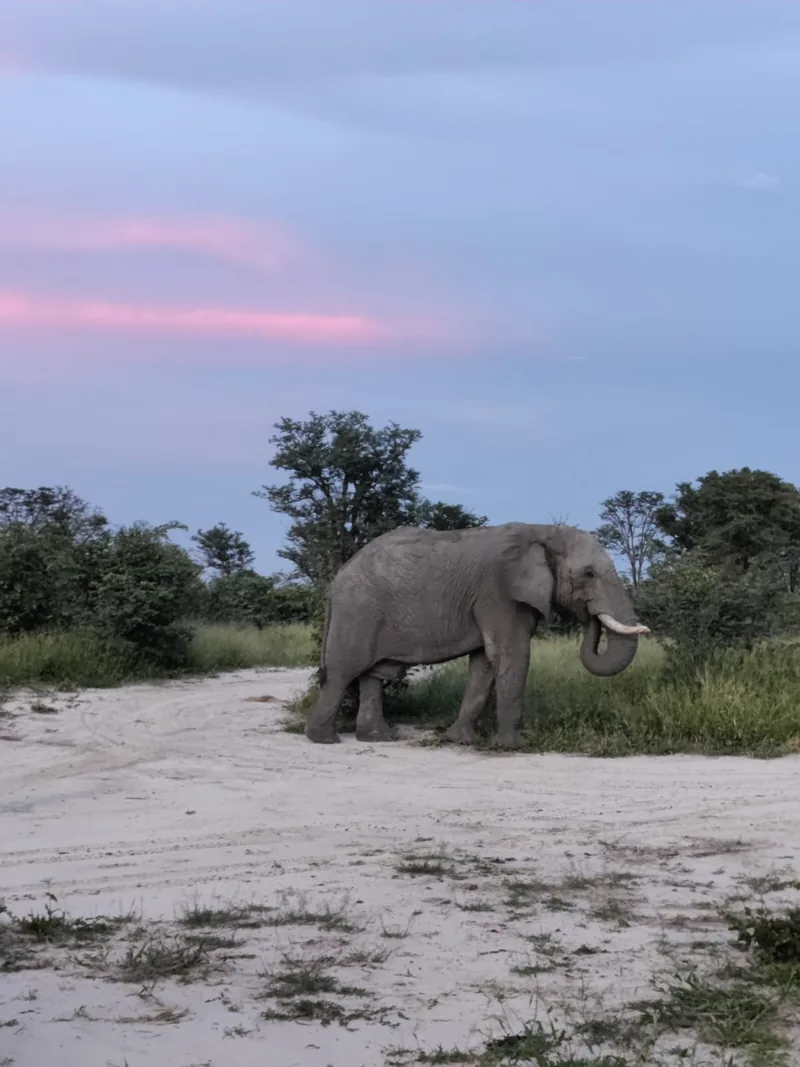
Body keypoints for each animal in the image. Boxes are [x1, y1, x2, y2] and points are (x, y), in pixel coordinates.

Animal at [304, 522, 650, 747]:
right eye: (588, 574)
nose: (588, 614)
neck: (544, 531)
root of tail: (337, 579)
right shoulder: (498, 593)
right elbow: (511, 655)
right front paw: (514, 745)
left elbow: (484, 663)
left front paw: (460, 740)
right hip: (358, 611)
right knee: (343, 672)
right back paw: (324, 740)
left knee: (374, 675)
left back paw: (379, 738)